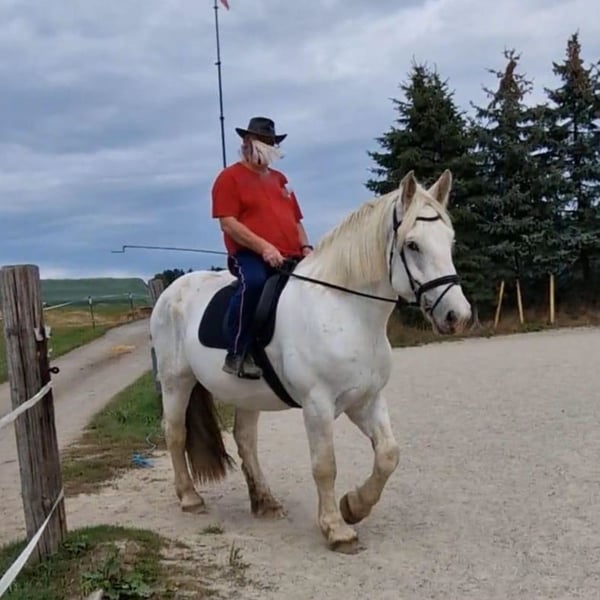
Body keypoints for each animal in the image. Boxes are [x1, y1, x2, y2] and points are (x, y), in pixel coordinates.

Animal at [149, 169, 472, 553]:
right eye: (413, 245)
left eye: (450, 242)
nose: (457, 316)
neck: (346, 310)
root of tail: (171, 290)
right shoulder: (318, 404)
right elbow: (325, 465)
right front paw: (337, 529)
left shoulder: (366, 399)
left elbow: (388, 455)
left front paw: (354, 506)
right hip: (176, 381)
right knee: (175, 433)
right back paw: (189, 498)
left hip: (245, 394)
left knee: (245, 440)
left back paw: (265, 502)